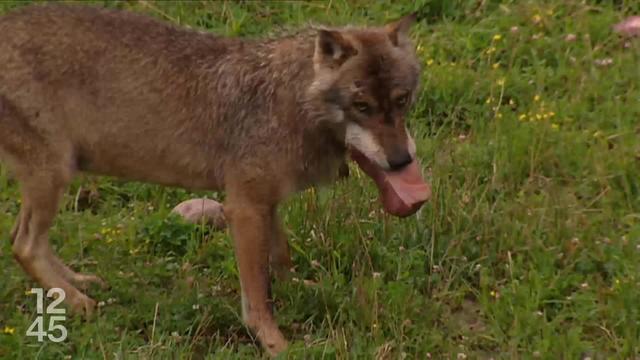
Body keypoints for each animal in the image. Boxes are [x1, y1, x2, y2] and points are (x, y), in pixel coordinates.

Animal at [0, 4, 432, 356]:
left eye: (402, 101)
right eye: (362, 106)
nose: (401, 161)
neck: (290, 102)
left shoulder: (268, 203)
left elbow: (281, 258)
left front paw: (297, 289)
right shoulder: (243, 207)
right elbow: (257, 293)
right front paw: (274, 342)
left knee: (21, 237)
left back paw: (77, 283)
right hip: (54, 175)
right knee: (24, 244)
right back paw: (77, 302)